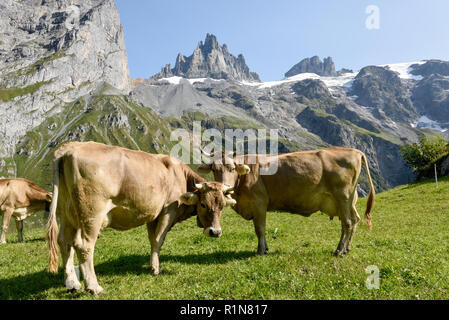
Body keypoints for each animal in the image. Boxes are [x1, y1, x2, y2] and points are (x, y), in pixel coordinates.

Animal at [46, 141, 236, 294]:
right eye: (203, 204)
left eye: (222, 206)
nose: (215, 232)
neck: (180, 175)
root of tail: (69, 147)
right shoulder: (168, 210)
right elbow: (159, 239)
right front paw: (156, 269)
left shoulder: (152, 215)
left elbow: (152, 239)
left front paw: (152, 265)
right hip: (91, 214)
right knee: (84, 246)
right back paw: (94, 287)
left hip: (67, 213)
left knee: (64, 242)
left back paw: (72, 283)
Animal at [200, 148, 374, 258]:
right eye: (214, 169)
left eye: (232, 168)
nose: (223, 188)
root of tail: (354, 151)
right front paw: (265, 248)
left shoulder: (259, 203)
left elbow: (260, 229)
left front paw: (260, 251)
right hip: (349, 201)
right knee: (354, 220)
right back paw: (346, 249)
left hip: (343, 197)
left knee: (347, 223)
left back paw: (339, 250)